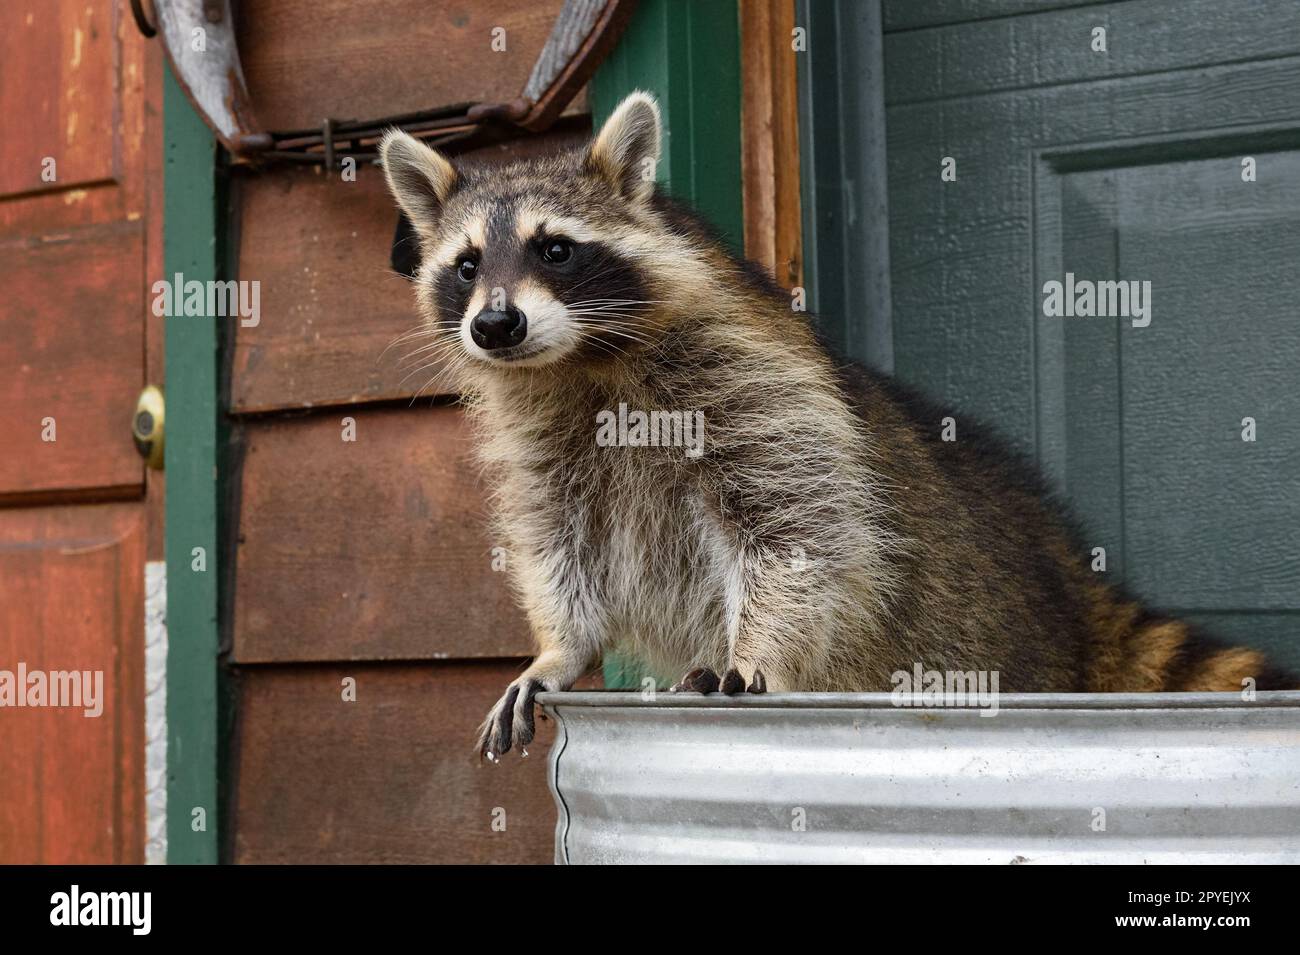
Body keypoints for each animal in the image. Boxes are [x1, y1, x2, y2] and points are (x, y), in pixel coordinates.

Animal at [380, 92, 1296, 758]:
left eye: (555, 249)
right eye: (466, 265)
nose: (495, 326)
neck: (577, 362)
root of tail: (1072, 581)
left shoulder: (753, 390)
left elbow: (799, 533)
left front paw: (753, 652)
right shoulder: (545, 441)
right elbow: (560, 545)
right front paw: (558, 649)